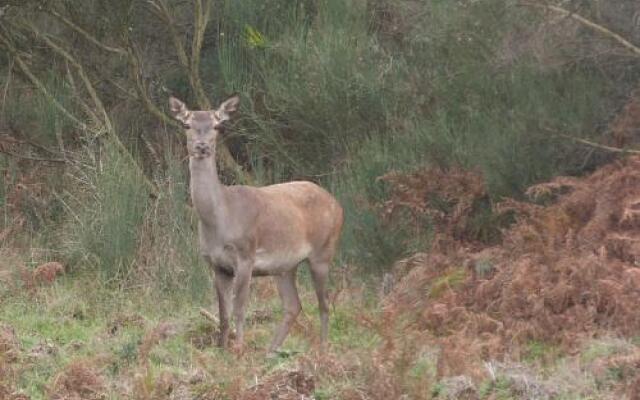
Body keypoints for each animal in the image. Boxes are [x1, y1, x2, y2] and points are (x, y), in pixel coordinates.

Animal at [168, 94, 342, 354]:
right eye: (186, 124)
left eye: (217, 126)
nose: (202, 146)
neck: (220, 220)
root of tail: (338, 205)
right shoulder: (217, 265)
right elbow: (223, 315)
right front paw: (222, 350)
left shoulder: (246, 256)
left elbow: (240, 309)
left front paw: (239, 349)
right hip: (284, 265)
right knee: (294, 305)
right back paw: (271, 351)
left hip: (323, 252)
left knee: (324, 303)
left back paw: (322, 350)